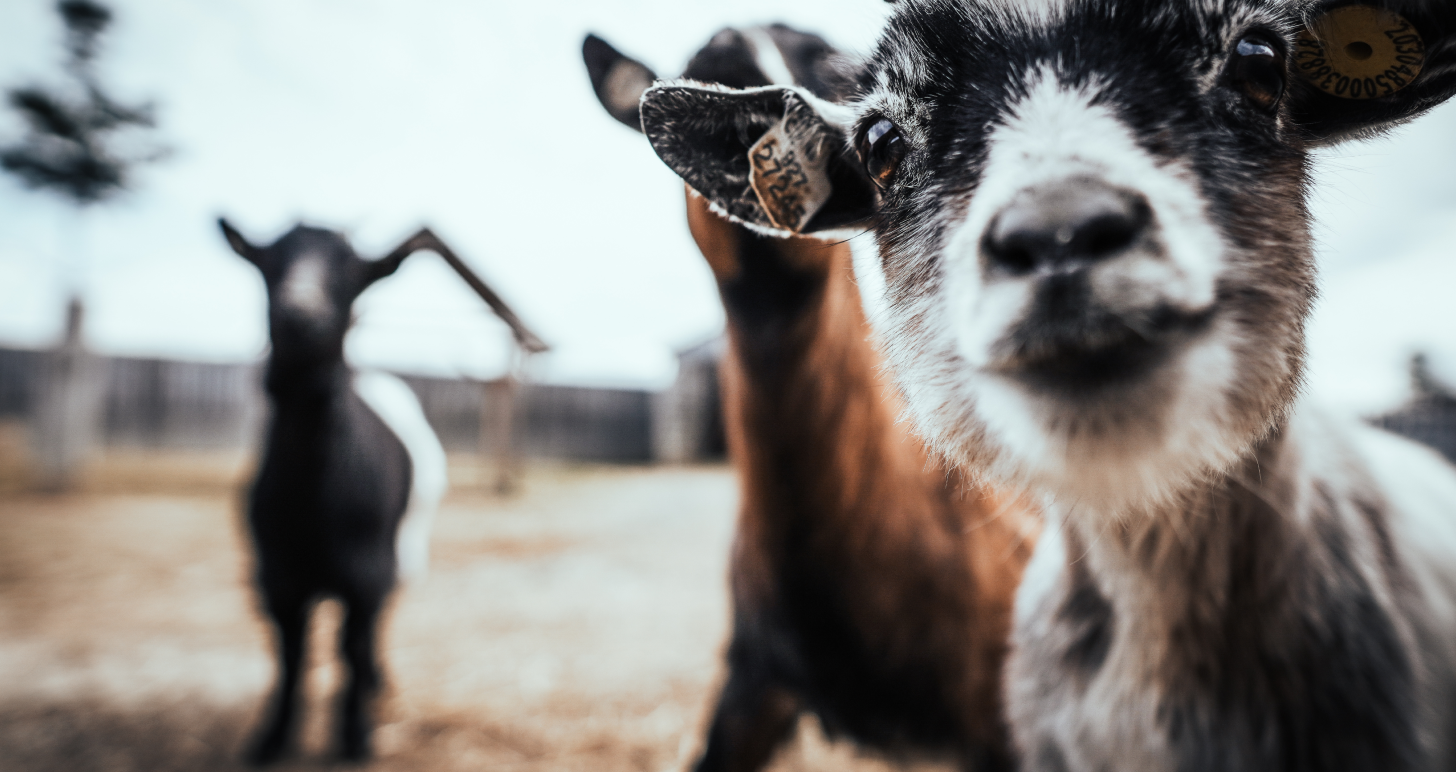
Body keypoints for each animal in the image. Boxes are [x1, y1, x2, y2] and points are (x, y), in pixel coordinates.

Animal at [219, 219, 447, 765]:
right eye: (270, 261)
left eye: (352, 270)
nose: (300, 310)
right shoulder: (276, 574)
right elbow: (291, 654)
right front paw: (271, 738)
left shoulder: (367, 570)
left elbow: (353, 646)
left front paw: (356, 736)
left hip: (404, 547)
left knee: (376, 624)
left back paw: (376, 682)